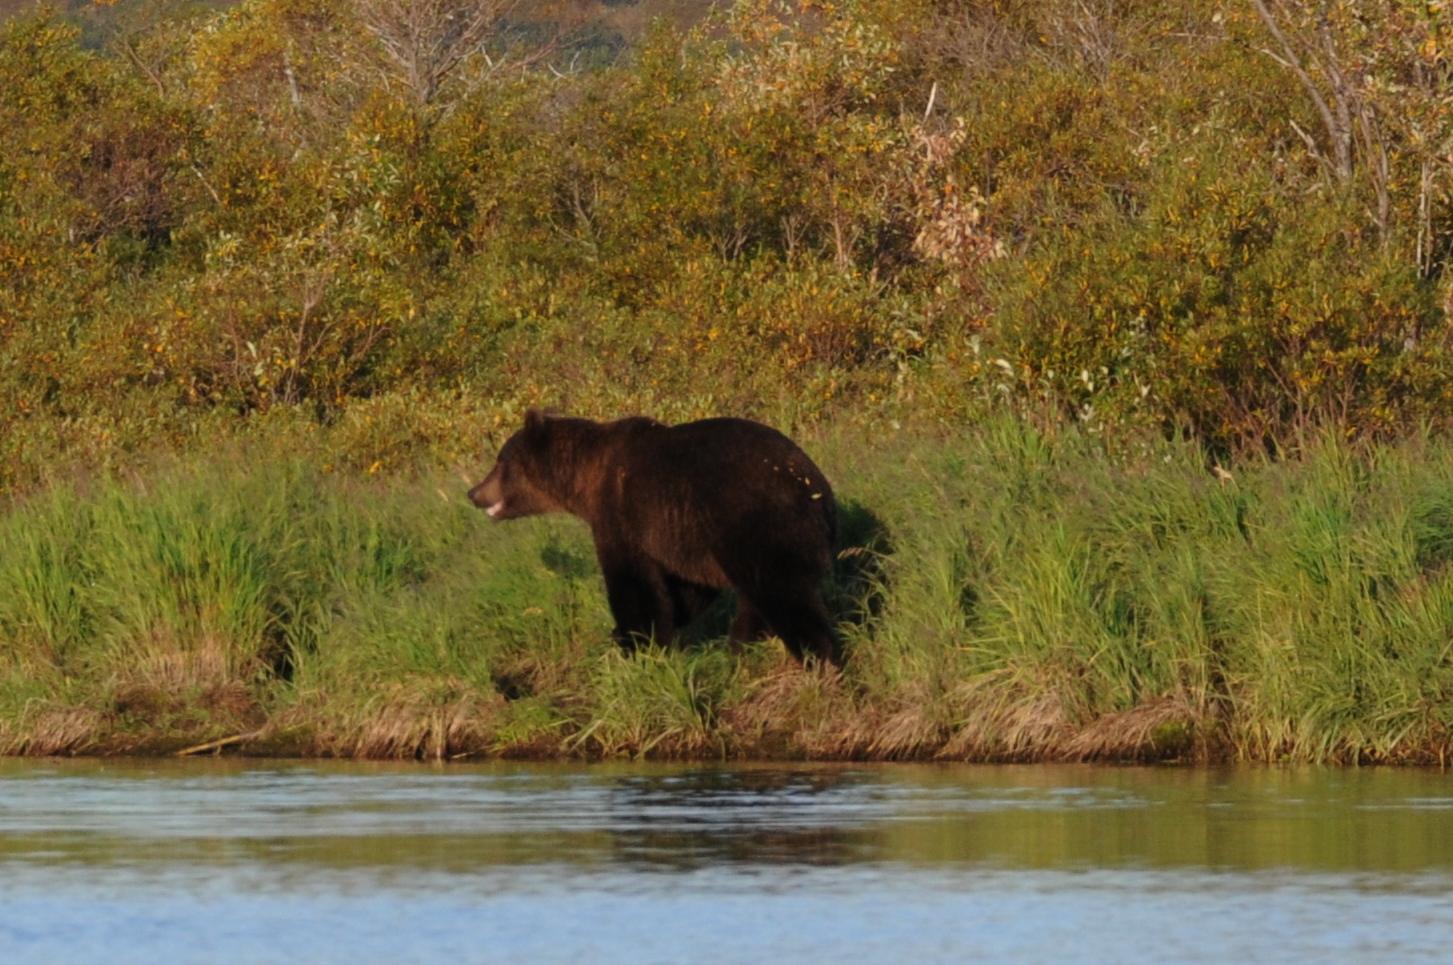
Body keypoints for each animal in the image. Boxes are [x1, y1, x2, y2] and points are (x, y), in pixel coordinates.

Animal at [470, 404, 842, 662]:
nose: (473, 492)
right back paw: (740, 647)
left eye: (500, 461)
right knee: (757, 599)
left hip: (757, 523)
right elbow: (684, 587)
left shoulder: (620, 514)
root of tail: (815, 490)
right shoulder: (682, 532)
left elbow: (634, 585)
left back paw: (818, 658)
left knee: (784, 597)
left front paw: (637, 644)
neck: (583, 480)